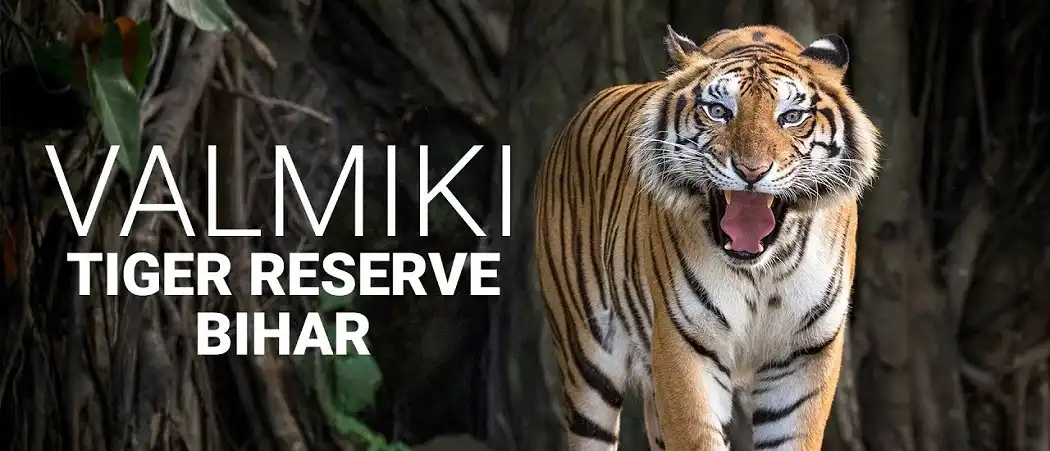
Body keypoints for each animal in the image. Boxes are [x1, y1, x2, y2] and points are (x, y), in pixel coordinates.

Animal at [533, 24, 880, 451]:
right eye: (719, 111)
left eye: (791, 117)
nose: (751, 171)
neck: (764, 269)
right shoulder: (685, 346)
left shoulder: (804, 356)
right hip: (586, 357)